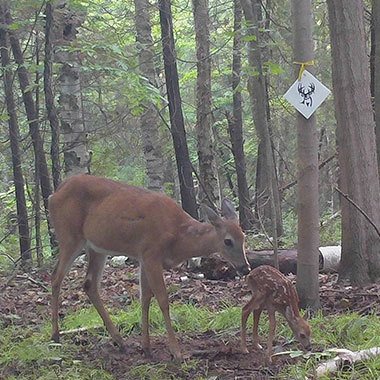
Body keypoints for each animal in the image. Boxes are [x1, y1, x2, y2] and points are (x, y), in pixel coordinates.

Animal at [49, 174, 252, 360]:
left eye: (244, 236)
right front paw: (176, 351)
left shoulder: (143, 257)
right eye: (228, 241)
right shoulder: (151, 253)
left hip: (97, 246)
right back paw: (56, 336)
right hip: (70, 235)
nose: (245, 268)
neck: (178, 237)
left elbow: (145, 297)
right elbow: (162, 299)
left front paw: (146, 347)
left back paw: (120, 341)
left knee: (89, 284)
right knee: (56, 277)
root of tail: (54, 194)